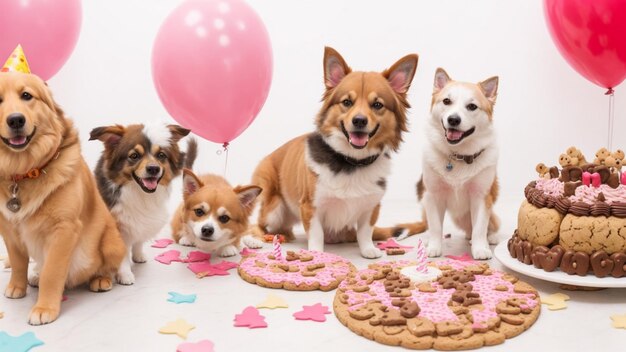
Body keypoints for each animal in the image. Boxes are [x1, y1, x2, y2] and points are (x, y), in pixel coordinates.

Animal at [0, 71, 125, 324]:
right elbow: (18, 263)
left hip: (111, 243)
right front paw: (17, 287)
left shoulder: (64, 229)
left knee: (107, 267)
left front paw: (45, 308)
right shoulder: (8, 230)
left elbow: (52, 272)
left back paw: (101, 279)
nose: (16, 120)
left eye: (26, 95)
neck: (23, 172)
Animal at [89, 122, 195, 284]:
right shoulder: (118, 227)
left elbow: (139, 239)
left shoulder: (140, 221)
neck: (140, 194)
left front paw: (138, 255)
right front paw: (125, 275)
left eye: (161, 155)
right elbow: (121, 253)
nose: (153, 168)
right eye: (134, 156)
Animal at [249, 46, 414, 258]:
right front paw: (316, 253)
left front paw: (368, 249)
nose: (359, 121)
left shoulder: (371, 206)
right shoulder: (311, 207)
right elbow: (316, 234)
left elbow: (365, 231)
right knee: (260, 225)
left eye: (377, 105)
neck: (352, 161)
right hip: (273, 209)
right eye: (347, 102)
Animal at [394, 69, 498, 260]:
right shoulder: (433, 196)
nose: (453, 119)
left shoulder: (481, 197)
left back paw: (490, 238)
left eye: (472, 106)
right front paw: (434, 247)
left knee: (487, 226)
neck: (458, 156)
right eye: (447, 101)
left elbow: (480, 228)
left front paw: (480, 248)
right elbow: (436, 226)